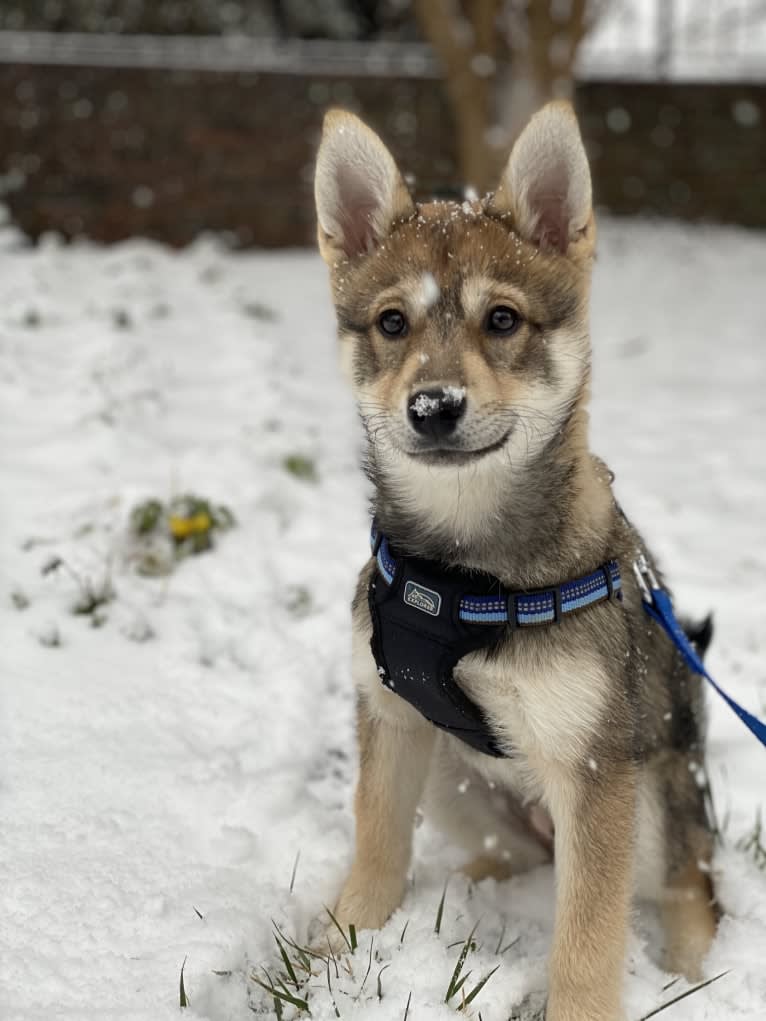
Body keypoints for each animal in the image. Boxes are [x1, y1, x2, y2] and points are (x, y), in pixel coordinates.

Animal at [312, 101, 719, 1021]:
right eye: (392, 322)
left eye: (502, 319)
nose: (433, 406)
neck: (466, 573)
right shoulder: (387, 716)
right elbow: (374, 849)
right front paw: (336, 949)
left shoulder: (596, 769)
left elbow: (589, 939)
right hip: (451, 777)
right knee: (520, 859)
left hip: (655, 801)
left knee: (693, 885)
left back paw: (692, 971)